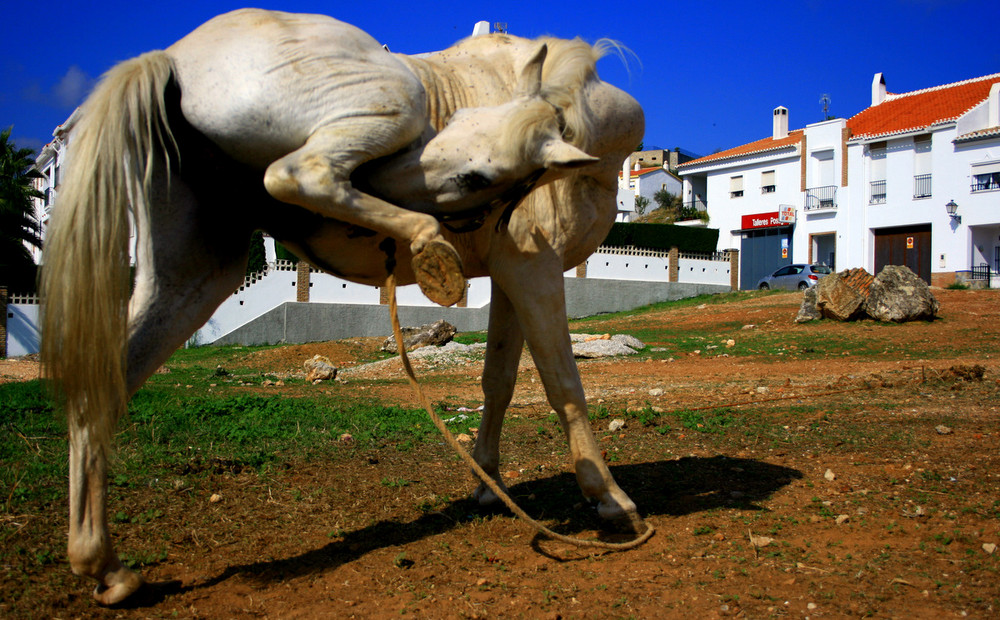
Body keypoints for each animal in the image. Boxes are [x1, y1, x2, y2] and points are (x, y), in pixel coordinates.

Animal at [39, 7, 644, 604]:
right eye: (455, 119)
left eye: (478, 174)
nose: (374, 180)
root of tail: (171, 58)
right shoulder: (532, 268)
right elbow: (562, 384)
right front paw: (610, 499)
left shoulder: (511, 273)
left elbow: (499, 381)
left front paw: (487, 486)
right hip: (391, 102)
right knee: (298, 173)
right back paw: (424, 238)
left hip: (191, 275)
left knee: (97, 397)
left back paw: (105, 569)